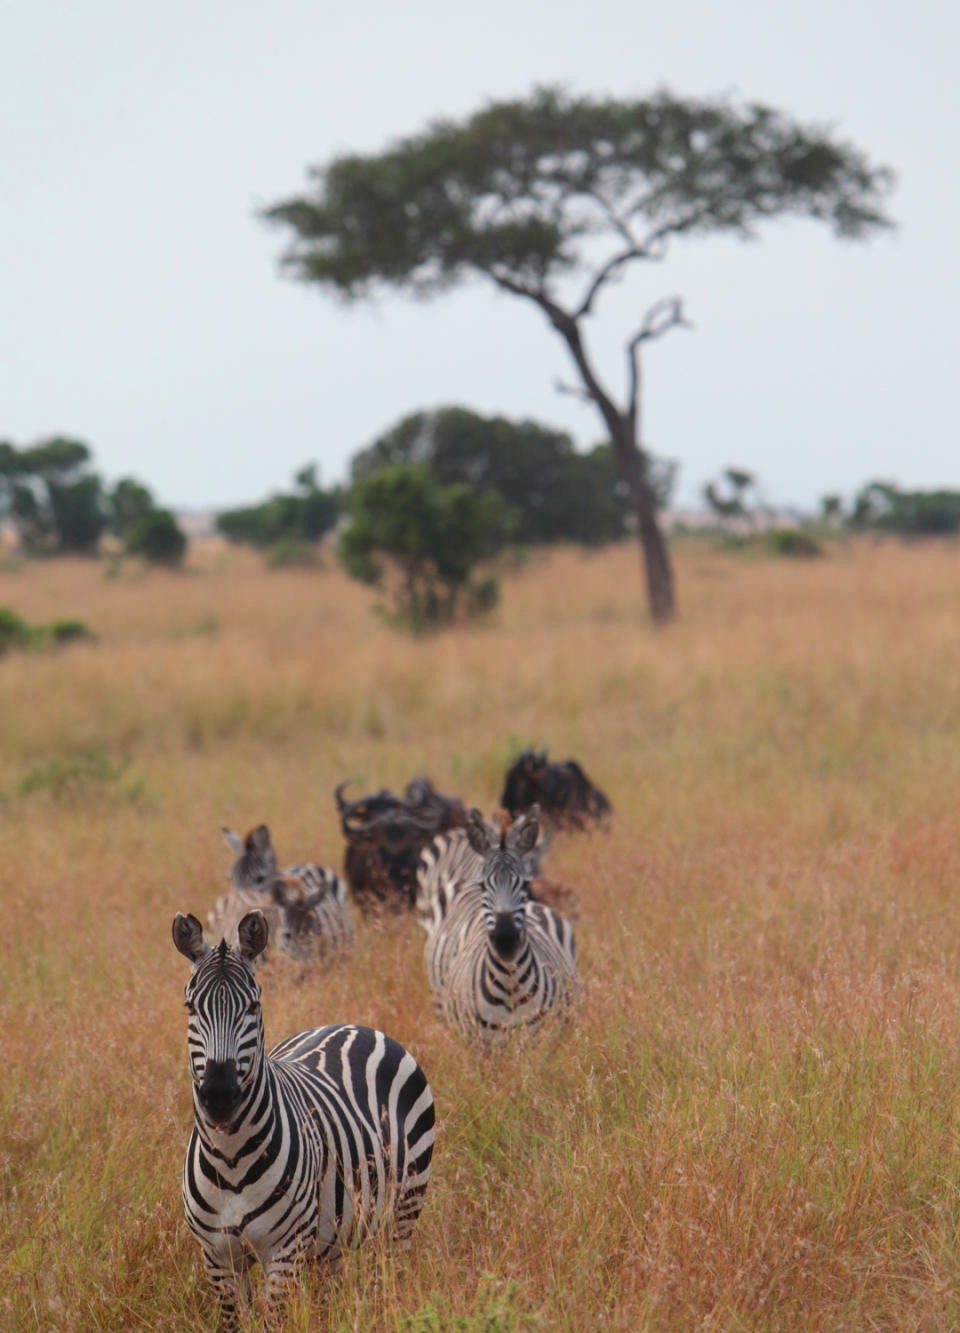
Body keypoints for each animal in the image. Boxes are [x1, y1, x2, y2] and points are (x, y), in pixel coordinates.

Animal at [172, 911, 434, 1327]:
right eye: (191, 1008)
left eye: (253, 1007)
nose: (219, 1097)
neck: (229, 1158)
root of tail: (355, 1026)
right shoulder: (217, 1257)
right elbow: (235, 1322)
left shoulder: (285, 1252)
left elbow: (273, 1321)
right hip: (333, 1238)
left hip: (404, 1208)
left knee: (390, 1276)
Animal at [426, 805, 578, 1045]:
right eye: (483, 885)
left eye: (525, 883)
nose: (505, 940)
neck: (510, 983)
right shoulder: (482, 1045)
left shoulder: (539, 1041)